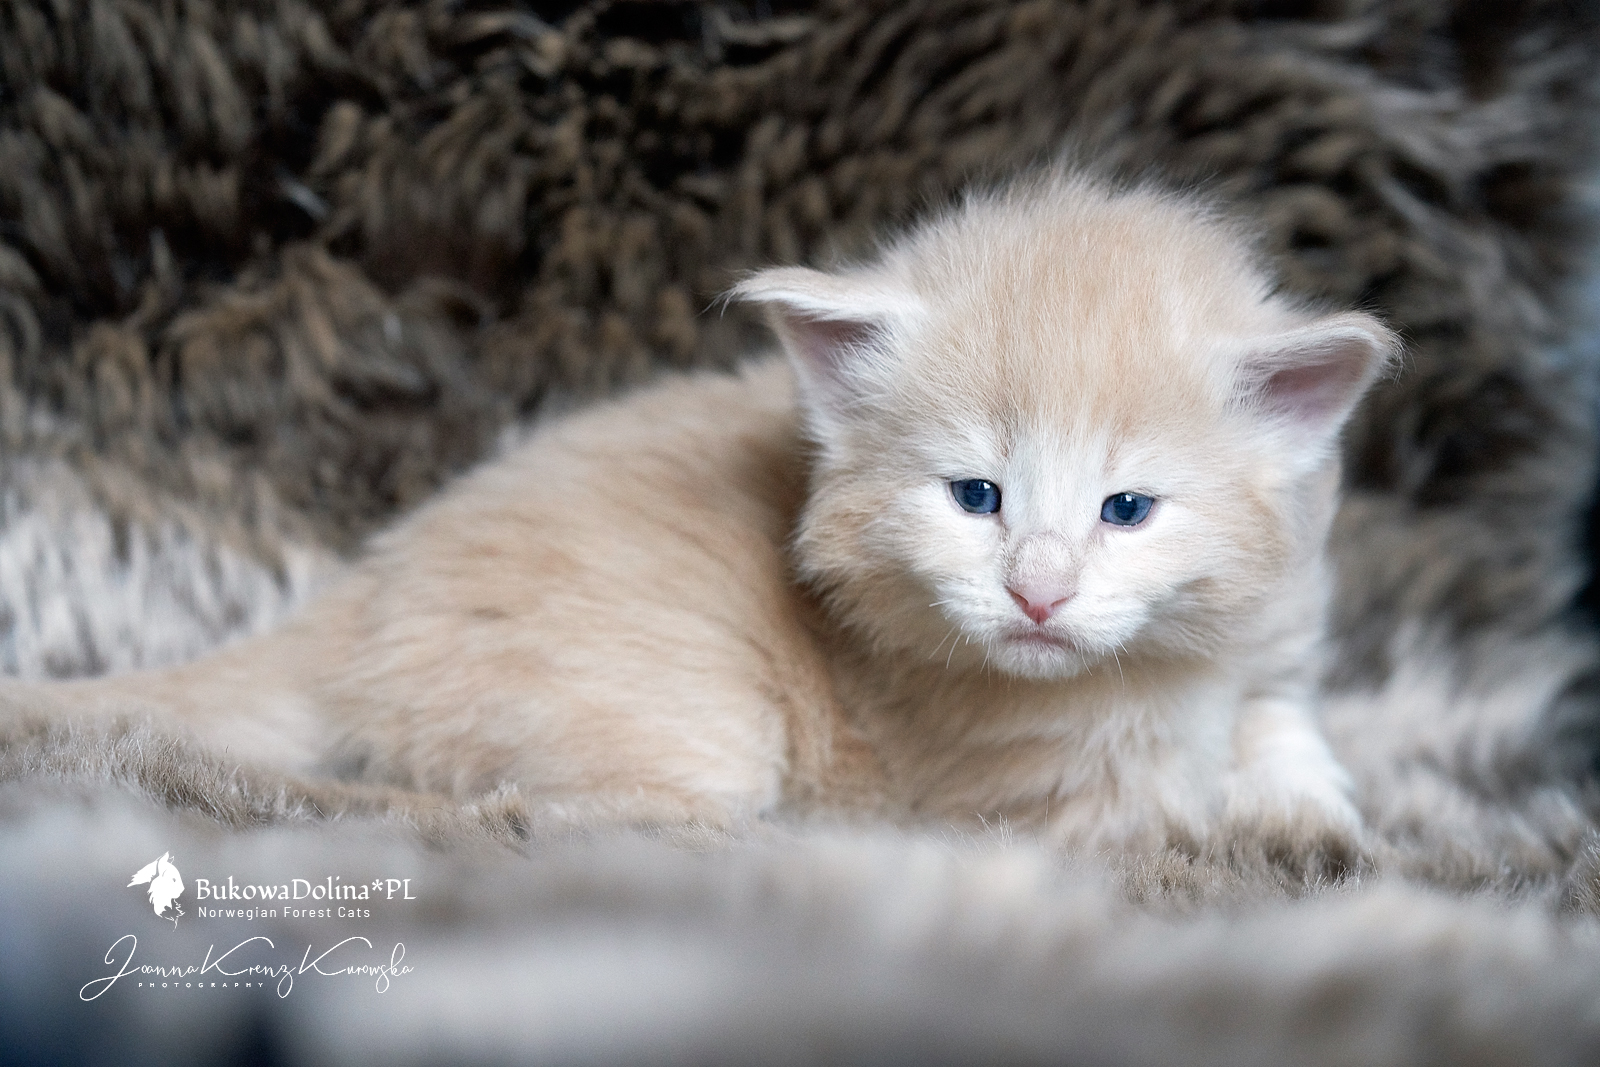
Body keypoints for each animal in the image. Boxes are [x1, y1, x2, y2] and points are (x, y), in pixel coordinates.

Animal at [0, 171, 1397, 862]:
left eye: (1127, 509)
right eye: (976, 496)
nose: (1038, 593)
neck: (1155, 666)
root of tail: (367, 585)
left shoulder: (1274, 632)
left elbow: (1277, 726)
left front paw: (1305, 811)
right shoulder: (1023, 792)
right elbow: (1162, 806)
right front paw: (1252, 814)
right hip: (684, 718)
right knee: (503, 810)